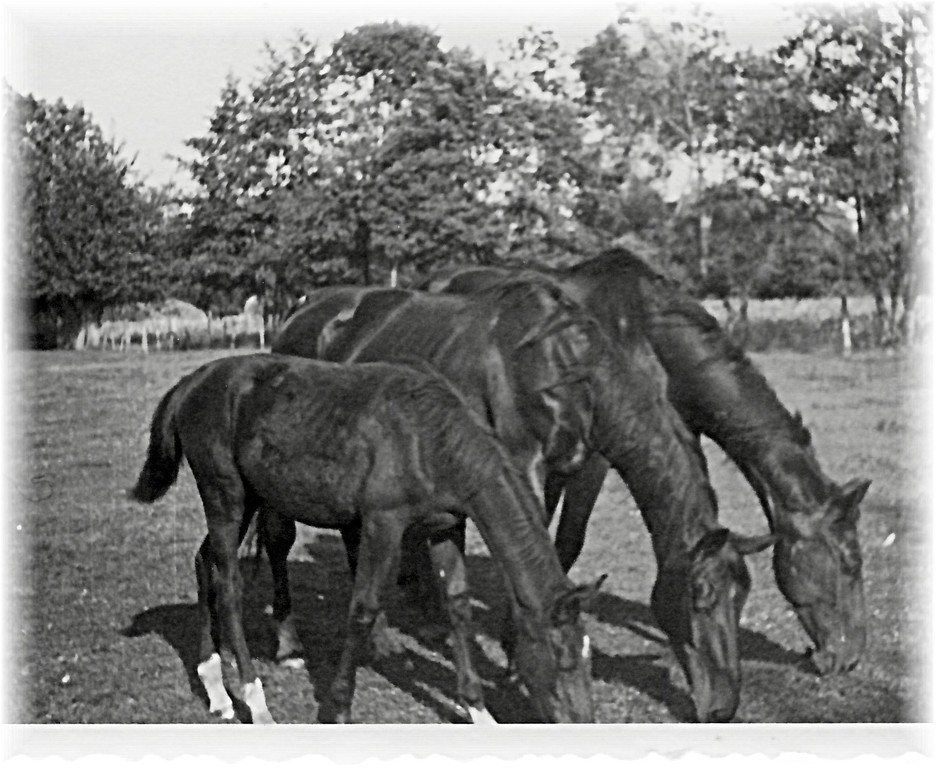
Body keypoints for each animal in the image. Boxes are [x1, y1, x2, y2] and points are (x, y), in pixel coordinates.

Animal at [130, 354, 600, 728]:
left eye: (588, 657)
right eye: (560, 657)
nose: (583, 722)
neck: (429, 440)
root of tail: (190, 383)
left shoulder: (446, 526)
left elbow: (458, 603)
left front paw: (479, 709)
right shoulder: (382, 524)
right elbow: (364, 608)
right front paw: (338, 708)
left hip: (248, 498)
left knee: (204, 561)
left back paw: (216, 687)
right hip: (223, 493)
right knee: (228, 585)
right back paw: (255, 702)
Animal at [272, 280, 776, 724]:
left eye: (743, 597)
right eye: (701, 595)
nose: (724, 707)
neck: (557, 364)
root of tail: (303, 307)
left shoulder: (569, 469)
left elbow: (559, 546)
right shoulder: (521, 461)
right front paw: (517, 664)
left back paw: (381, 639)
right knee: (280, 541)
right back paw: (289, 644)